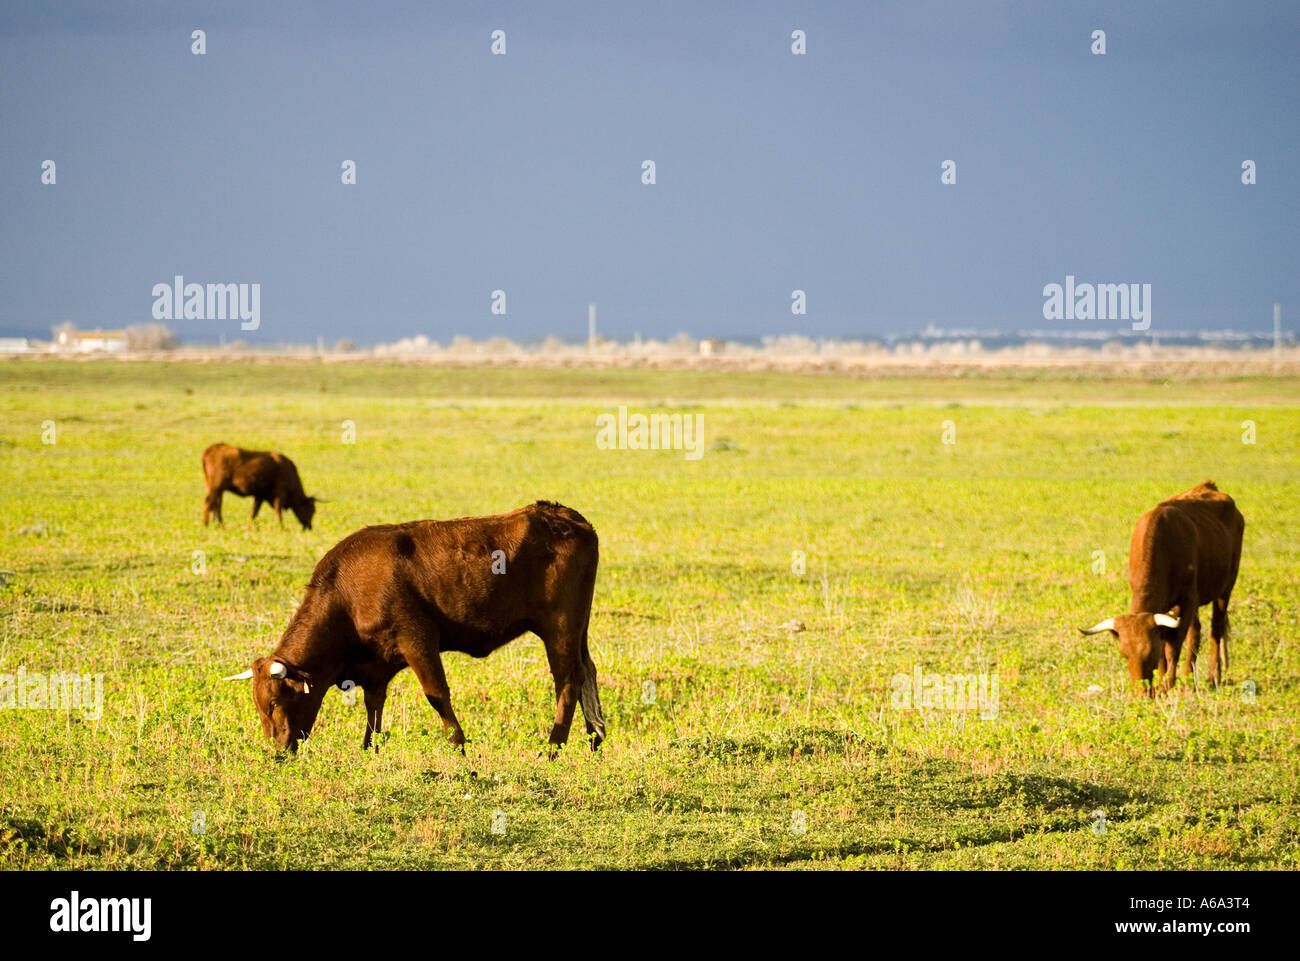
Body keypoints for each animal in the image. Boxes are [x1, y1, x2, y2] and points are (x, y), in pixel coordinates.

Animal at [220, 499, 605, 754]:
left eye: (274, 702)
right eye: (259, 706)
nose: (277, 751)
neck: (346, 592)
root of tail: (568, 517)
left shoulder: (417, 639)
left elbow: (436, 695)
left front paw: (459, 745)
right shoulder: (375, 666)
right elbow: (374, 705)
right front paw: (369, 748)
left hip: (559, 629)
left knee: (567, 682)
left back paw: (554, 747)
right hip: (577, 630)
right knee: (587, 672)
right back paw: (594, 739)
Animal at [1081, 483, 1242, 697]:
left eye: (1150, 651)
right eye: (1124, 654)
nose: (1141, 693)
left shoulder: (1187, 599)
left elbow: (1172, 647)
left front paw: (1168, 685)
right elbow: (1167, 646)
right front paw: (1160, 685)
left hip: (1225, 589)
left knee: (1215, 629)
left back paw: (1212, 677)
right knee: (1196, 632)